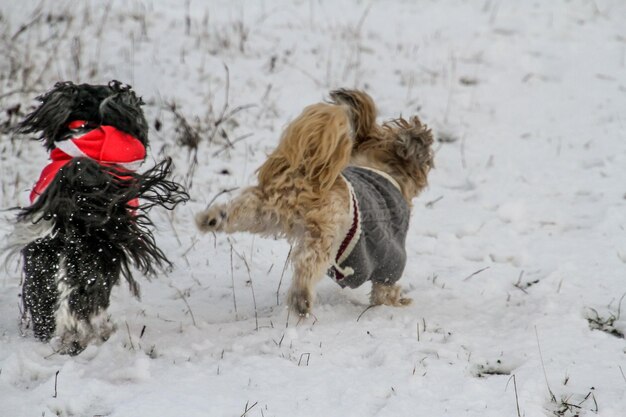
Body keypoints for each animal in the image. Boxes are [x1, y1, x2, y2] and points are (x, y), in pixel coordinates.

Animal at [197, 89, 432, 314]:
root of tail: (306, 177)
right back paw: (301, 299)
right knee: (307, 264)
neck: (381, 168)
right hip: (324, 236)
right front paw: (396, 302)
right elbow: (384, 289)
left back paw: (212, 219)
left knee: (244, 211)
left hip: (266, 211)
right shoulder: (390, 256)